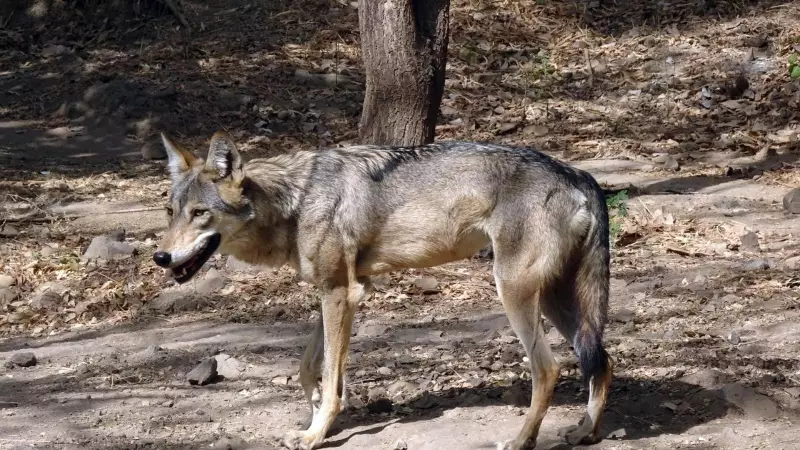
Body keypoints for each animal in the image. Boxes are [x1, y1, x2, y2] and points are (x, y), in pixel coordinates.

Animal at [152, 131, 613, 450]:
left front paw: (315, 434)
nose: (160, 257)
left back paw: (521, 441)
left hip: (515, 294)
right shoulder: (342, 291)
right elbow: (310, 367)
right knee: (600, 360)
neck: (295, 200)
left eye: (200, 213)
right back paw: (586, 432)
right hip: (555, 301)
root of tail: (579, 174)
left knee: (548, 369)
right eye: (171, 212)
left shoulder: (341, 292)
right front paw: (314, 412)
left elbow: (331, 376)